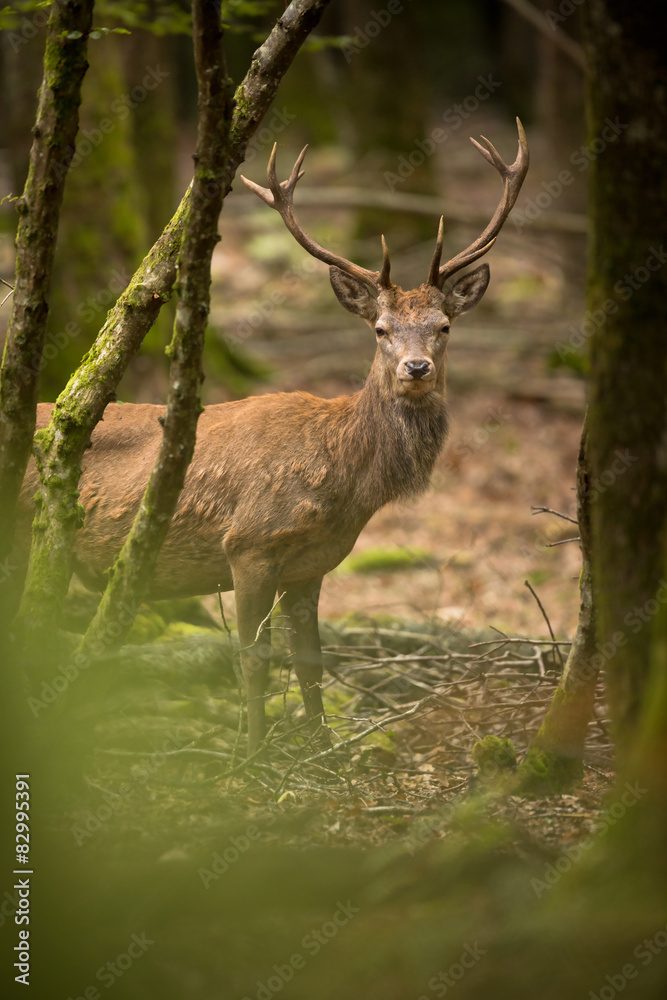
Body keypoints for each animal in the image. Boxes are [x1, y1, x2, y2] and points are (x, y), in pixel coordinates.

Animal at [18, 120, 528, 754]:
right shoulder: (250, 545)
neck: (345, 483)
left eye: (444, 326)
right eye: (381, 329)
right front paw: (254, 755)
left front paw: (325, 751)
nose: (417, 368)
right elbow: (254, 660)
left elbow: (310, 662)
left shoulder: (310, 567)